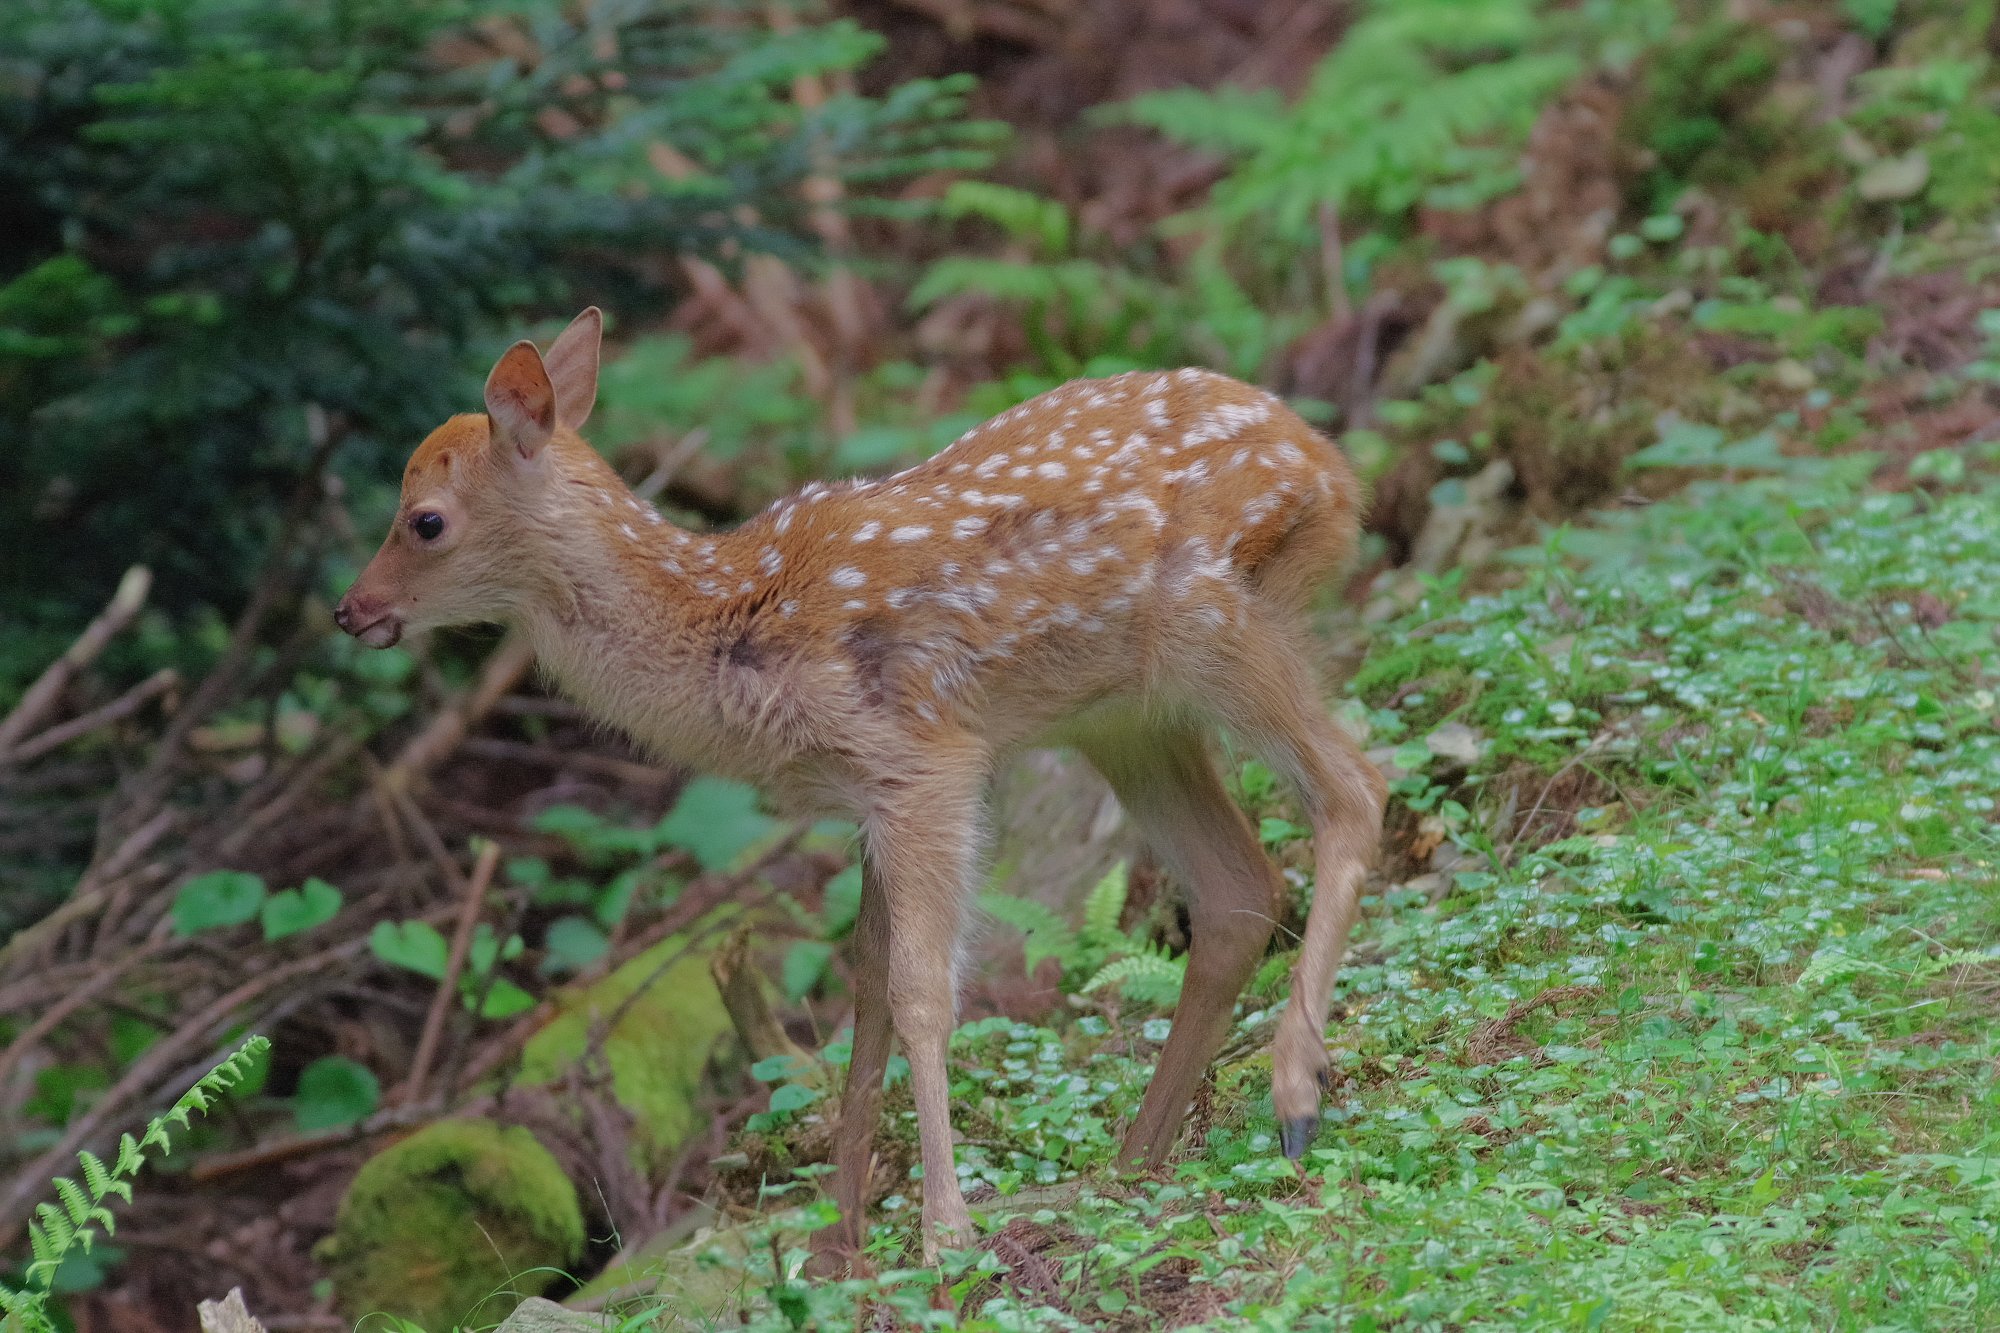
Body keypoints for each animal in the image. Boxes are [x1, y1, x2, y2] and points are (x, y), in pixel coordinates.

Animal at [334, 308, 1386, 1265]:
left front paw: (943, 1231)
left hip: (1218, 625)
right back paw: (1134, 1162)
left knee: (1356, 785)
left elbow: (922, 989)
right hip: (1126, 718)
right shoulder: (867, 796)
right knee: (1237, 885)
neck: (729, 628)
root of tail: (1335, 472)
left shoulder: (924, 761)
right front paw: (837, 1242)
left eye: (425, 520)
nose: (351, 610)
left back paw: (1295, 1095)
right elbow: (867, 990)